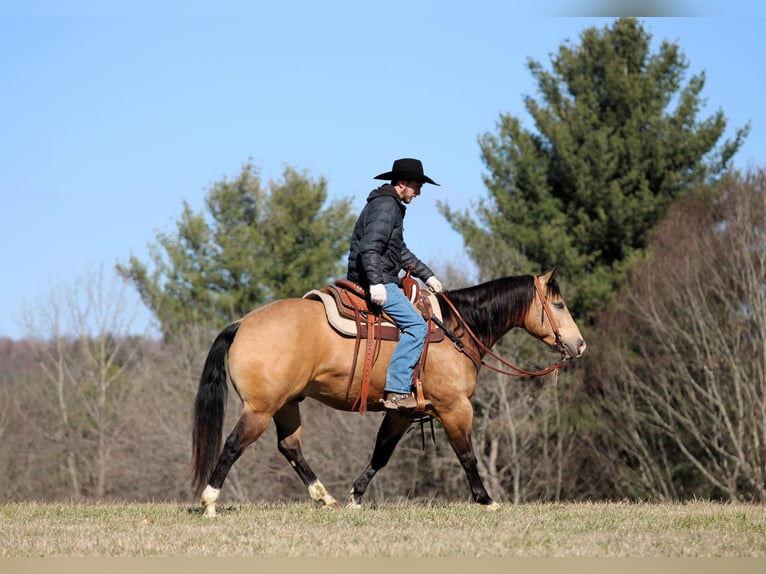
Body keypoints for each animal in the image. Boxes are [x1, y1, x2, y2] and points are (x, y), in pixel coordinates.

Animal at [191, 268, 586, 516]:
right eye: (559, 304)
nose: (579, 345)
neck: (457, 329)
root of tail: (241, 324)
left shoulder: (402, 412)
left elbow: (381, 454)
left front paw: (355, 496)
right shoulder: (455, 408)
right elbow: (467, 455)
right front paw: (486, 500)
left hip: (287, 404)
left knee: (290, 447)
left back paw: (327, 499)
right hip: (260, 409)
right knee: (234, 444)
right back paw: (209, 501)